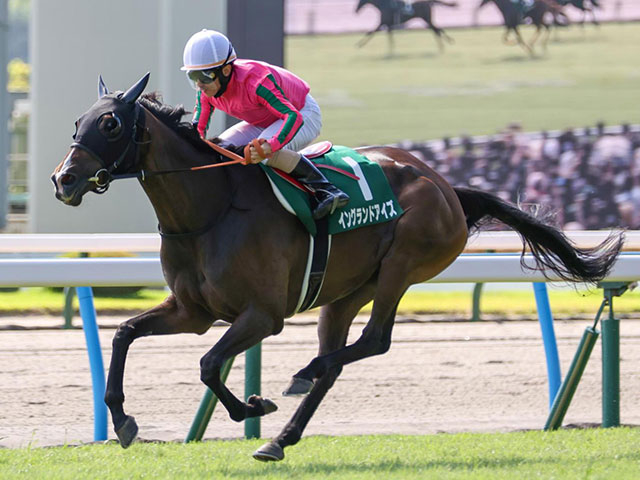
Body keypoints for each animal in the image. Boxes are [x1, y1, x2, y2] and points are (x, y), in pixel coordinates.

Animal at [52, 73, 623, 461]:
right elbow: (124, 333)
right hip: (347, 291)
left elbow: (210, 364)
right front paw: (124, 420)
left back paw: (300, 378)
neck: (209, 209)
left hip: (402, 266)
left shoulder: (263, 315)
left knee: (373, 341)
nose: (64, 180)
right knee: (339, 358)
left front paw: (250, 408)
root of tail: (446, 186)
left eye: (110, 123)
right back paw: (281, 437)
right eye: (77, 122)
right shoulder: (192, 312)